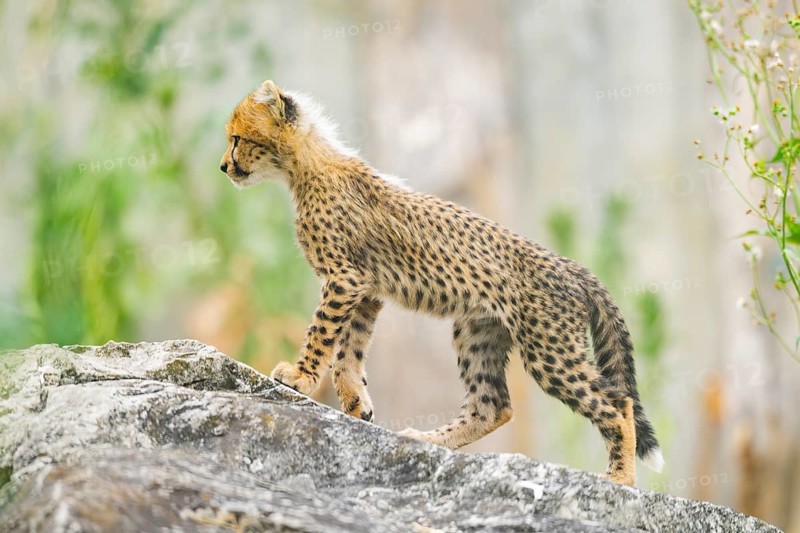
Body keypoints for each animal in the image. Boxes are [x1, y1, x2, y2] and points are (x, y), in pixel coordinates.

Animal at [219, 80, 663, 486]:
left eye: (237, 138)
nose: (223, 166)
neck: (307, 165)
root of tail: (572, 266)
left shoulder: (345, 278)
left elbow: (322, 334)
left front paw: (299, 376)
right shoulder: (366, 289)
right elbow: (349, 350)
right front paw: (356, 403)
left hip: (548, 350)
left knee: (617, 403)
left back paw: (620, 478)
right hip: (478, 333)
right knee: (493, 406)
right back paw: (427, 441)